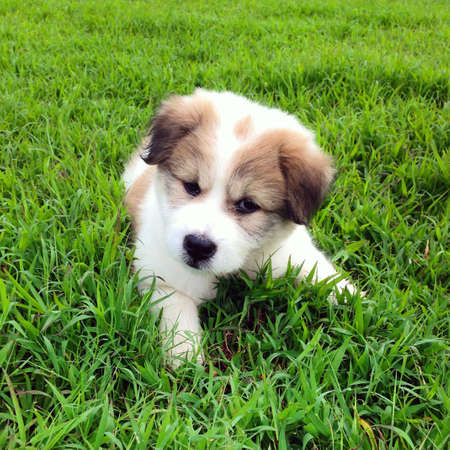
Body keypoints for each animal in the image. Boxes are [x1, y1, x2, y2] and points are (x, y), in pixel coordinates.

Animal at [123, 89, 358, 368]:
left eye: (247, 205)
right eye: (191, 186)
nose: (197, 246)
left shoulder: (288, 250)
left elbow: (320, 271)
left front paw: (354, 298)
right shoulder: (158, 270)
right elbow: (177, 306)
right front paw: (186, 354)